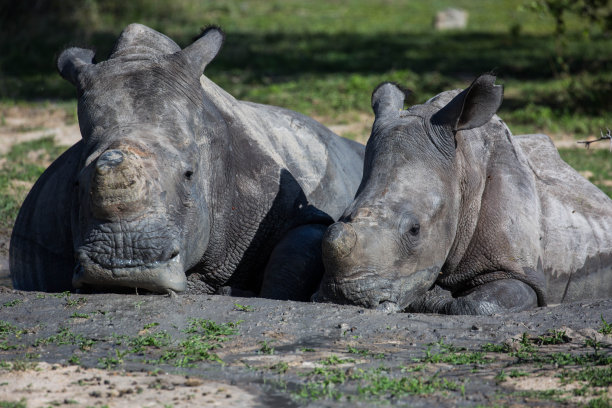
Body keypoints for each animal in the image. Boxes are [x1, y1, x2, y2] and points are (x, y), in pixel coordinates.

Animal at [316, 75, 612, 314]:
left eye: (415, 229)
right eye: (342, 216)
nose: (345, 296)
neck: (463, 169)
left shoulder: (519, 272)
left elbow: (476, 304)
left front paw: (435, 294)